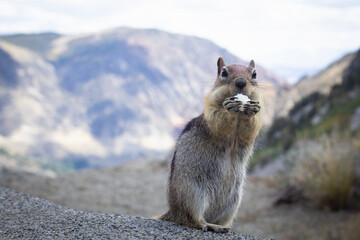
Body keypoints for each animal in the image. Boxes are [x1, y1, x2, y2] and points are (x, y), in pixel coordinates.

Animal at [160, 56, 262, 232]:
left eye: (254, 74)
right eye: (224, 72)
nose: (241, 82)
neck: (239, 116)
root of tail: (173, 212)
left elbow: (250, 129)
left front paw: (252, 110)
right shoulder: (210, 110)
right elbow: (218, 122)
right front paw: (229, 108)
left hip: (233, 203)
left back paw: (221, 226)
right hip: (193, 194)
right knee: (191, 219)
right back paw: (208, 225)